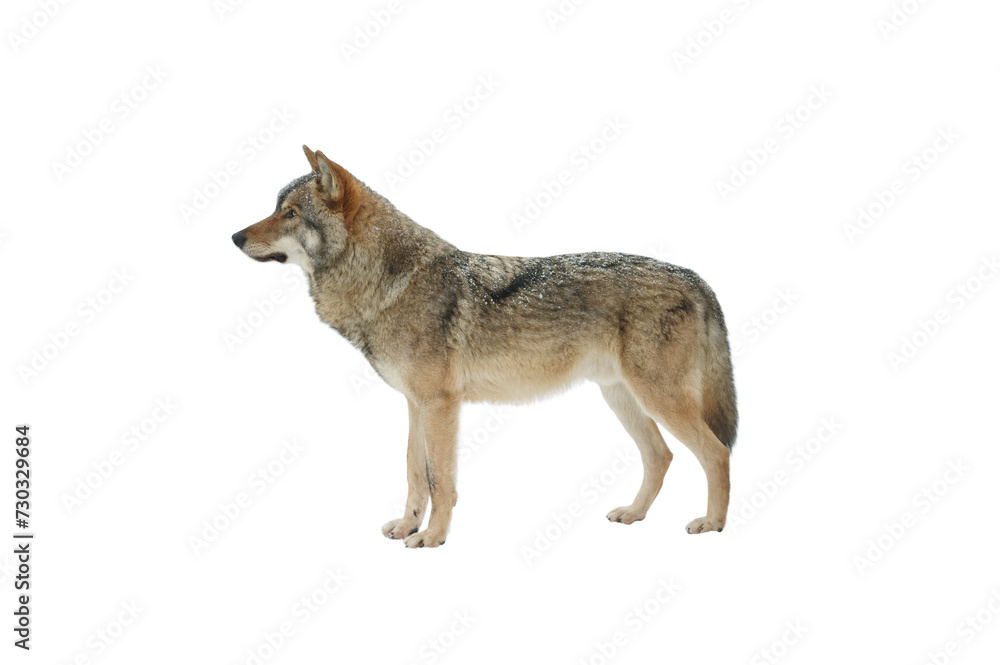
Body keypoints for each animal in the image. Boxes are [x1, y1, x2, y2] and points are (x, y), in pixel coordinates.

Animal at [232, 146, 738, 548]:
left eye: (290, 213)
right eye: (275, 208)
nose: (235, 236)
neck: (387, 283)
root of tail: (696, 277)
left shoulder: (441, 405)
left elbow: (441, 481)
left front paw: (433, 538)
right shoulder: (416, 404)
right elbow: (415, 473)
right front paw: (407, 527)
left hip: (657, 398)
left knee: (717, 452)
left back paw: (712, 524)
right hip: (623, 398)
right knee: (661, 456)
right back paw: (634, 515)